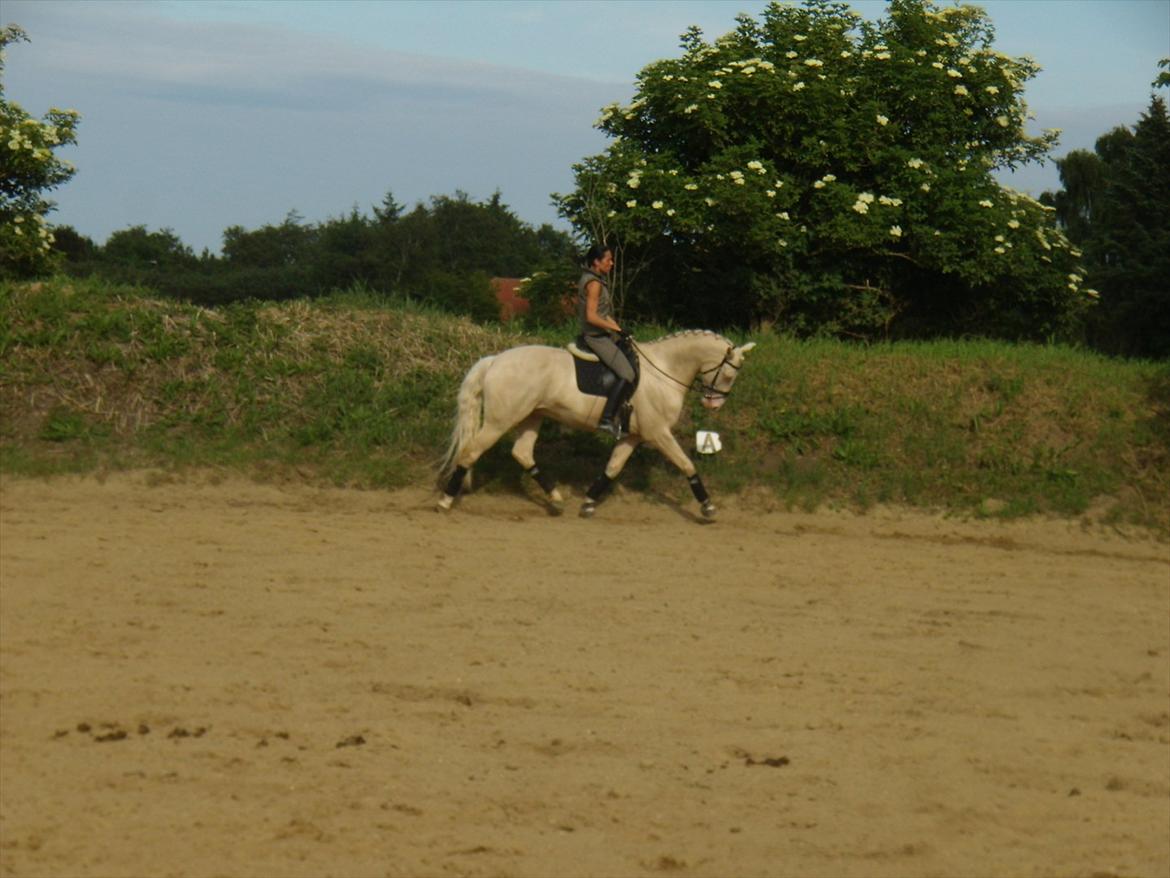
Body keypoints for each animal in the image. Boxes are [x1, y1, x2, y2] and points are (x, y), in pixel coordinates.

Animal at [439, 332, 758, 519]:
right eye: (729, 374)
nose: (713, 405)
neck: (664, 370)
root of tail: (495, 361)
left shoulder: (633, 436)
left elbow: (612, 468)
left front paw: (589, 501)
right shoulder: (658, 433)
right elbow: (687, 465)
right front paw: (708, 505)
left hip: (532, 415)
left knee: (522, 453)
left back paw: (556, 500)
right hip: (500, 419)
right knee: (470, 452)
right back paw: (445, 500)